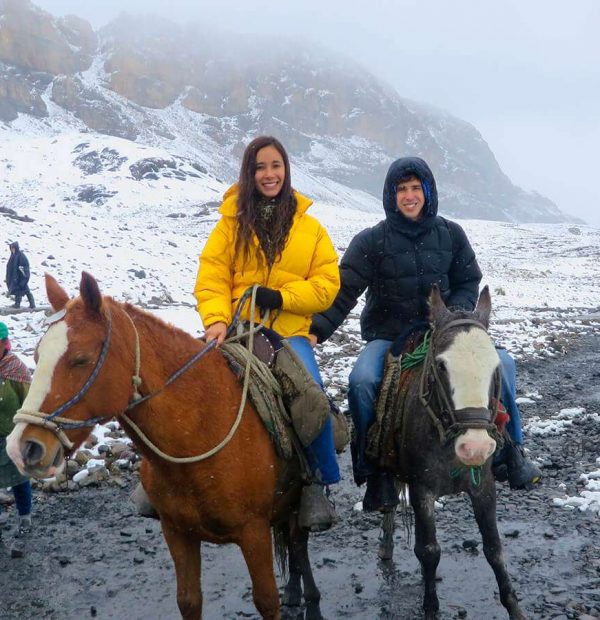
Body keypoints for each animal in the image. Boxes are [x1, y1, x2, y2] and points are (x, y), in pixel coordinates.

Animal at [5, 272, 324, 620]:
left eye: (80, 360)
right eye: (37, 356)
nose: (22, 447)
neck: (200, 431)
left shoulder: (253, 532)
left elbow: (267, 600)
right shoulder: (177, 533)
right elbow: (189, 600)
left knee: (299, 543)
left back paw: (310, 599)